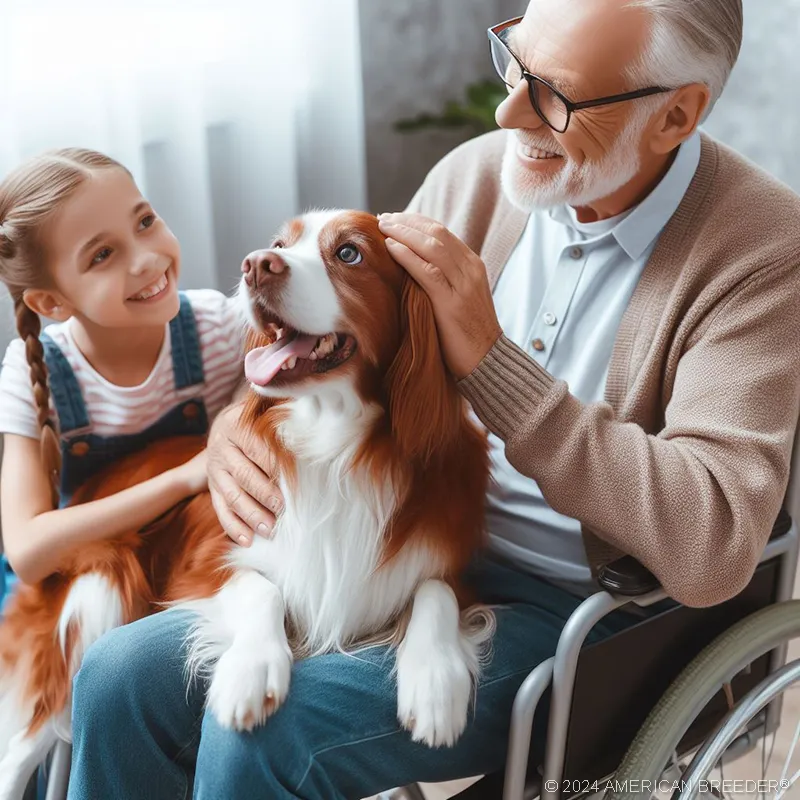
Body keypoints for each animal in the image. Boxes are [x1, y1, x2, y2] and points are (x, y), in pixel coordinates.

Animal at [0, 209, 494, 796]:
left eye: (349, 253)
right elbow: (262, 588)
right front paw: (251, 672)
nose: (257, 264)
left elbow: (435, 592)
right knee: (25, 741)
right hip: (100, 588)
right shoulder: (205, 560)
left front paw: (436, 681)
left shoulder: (453, 566)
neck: (335, 443)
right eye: (280, 243)